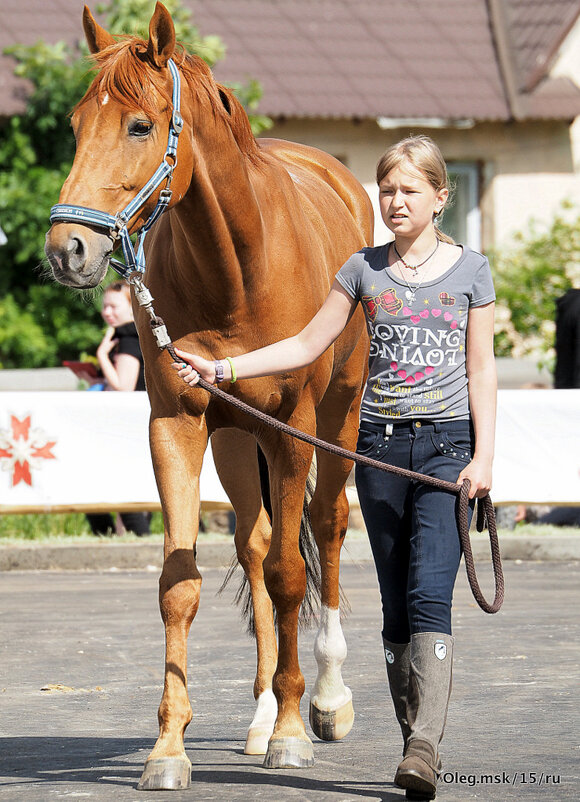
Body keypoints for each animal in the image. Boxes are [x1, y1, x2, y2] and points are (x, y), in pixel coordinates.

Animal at [45, 0, 372, 788]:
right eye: (75, 124)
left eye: (139, 125)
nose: (67, 250)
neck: (239, 267)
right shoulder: (179, 422)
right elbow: (182, 582)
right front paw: (169, 747)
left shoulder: (291, 426)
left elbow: (290, 574)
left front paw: (294, 732)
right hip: (233, 439)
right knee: (253, 547)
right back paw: (259, 714)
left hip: (337, 420)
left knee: (326, 528)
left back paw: (326, 698)